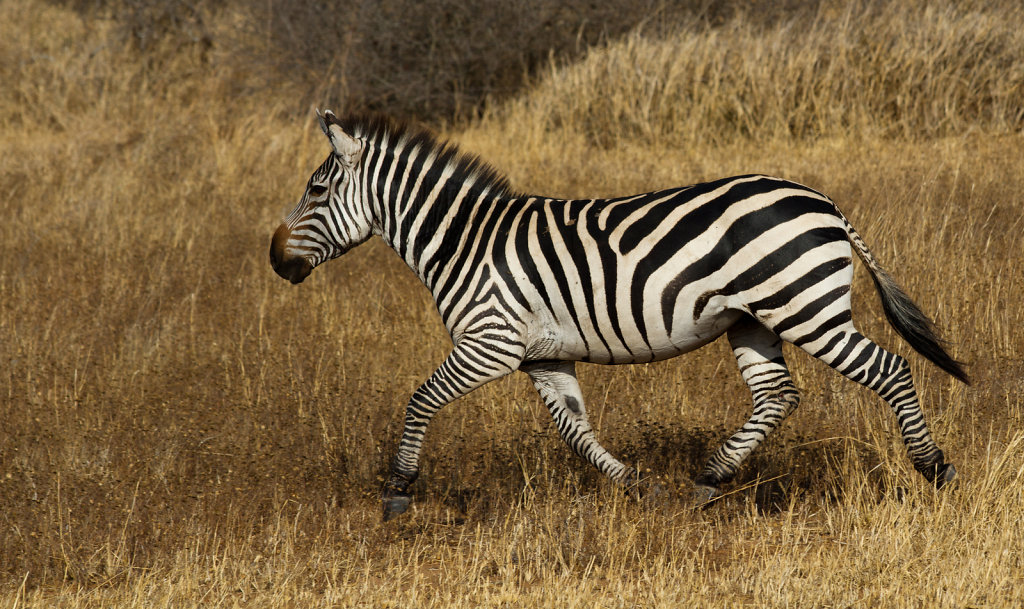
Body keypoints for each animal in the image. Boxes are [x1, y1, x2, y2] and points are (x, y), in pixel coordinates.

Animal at [266, 109, 966, 519]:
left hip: (805, 309)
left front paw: (398, 491)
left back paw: (934, 470)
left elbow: (420, 399)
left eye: (317, 190)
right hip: (755, 320)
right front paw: (637, 486)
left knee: (890, 370)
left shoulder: (490, 342)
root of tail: (826, 203)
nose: (274, 260)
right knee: (778, 395)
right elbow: (576, 432)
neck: (464, 241)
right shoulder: (542, 355)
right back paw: (707, 480)